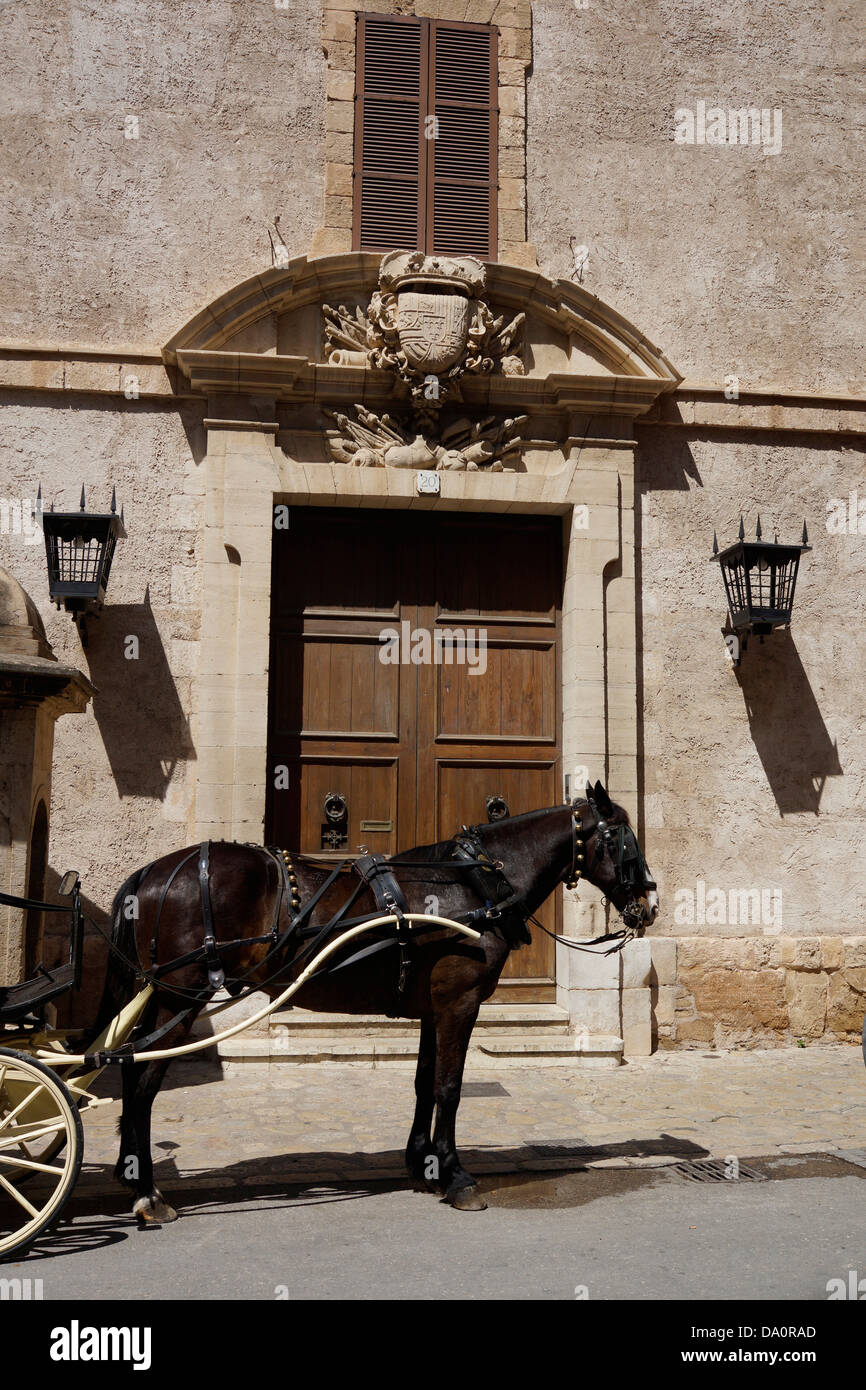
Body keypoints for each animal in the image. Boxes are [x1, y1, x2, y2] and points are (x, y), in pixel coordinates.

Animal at [91, 789, 656, 1223]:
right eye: (623, 837)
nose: (648, 905)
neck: (475, 885)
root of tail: (152, 872)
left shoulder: (433, 1008)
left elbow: (424, 1083)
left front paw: (423, 1163)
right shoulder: (460, 1002)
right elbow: (450, 1089)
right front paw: (454, 1175)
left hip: (163, 999)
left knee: (132, 1075)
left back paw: (135, 1180)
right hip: (179, 1000)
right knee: (142, 1085)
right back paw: (147, 1193)